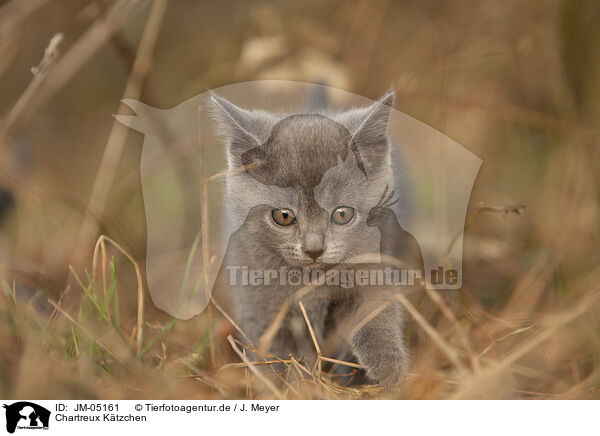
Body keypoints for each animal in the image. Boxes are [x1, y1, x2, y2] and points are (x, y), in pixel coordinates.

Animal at [210, 87, 422, 386]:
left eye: (342, 214)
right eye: (283, 216)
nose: (313, 249)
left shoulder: (373, 260)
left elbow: (374, 307)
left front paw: (388, 366)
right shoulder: (257, 299)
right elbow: (275, 352)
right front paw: (291, 385)